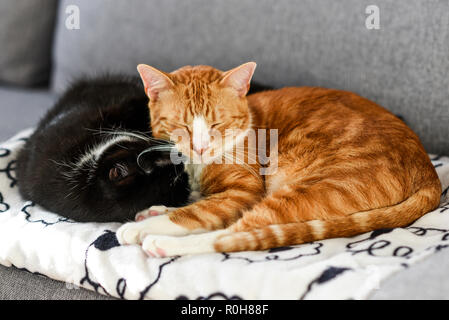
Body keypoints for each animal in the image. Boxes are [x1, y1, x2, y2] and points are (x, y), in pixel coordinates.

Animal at [116, 62, 440, 258]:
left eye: (217, 124)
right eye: (181, 126)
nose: (200, 147)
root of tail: (428, 170)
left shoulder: (243, 191)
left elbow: (200, 213)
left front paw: (147, 225)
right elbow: (200, 203)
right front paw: (157, 210)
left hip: (312, 188)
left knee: (236, 233)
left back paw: (161, 243)